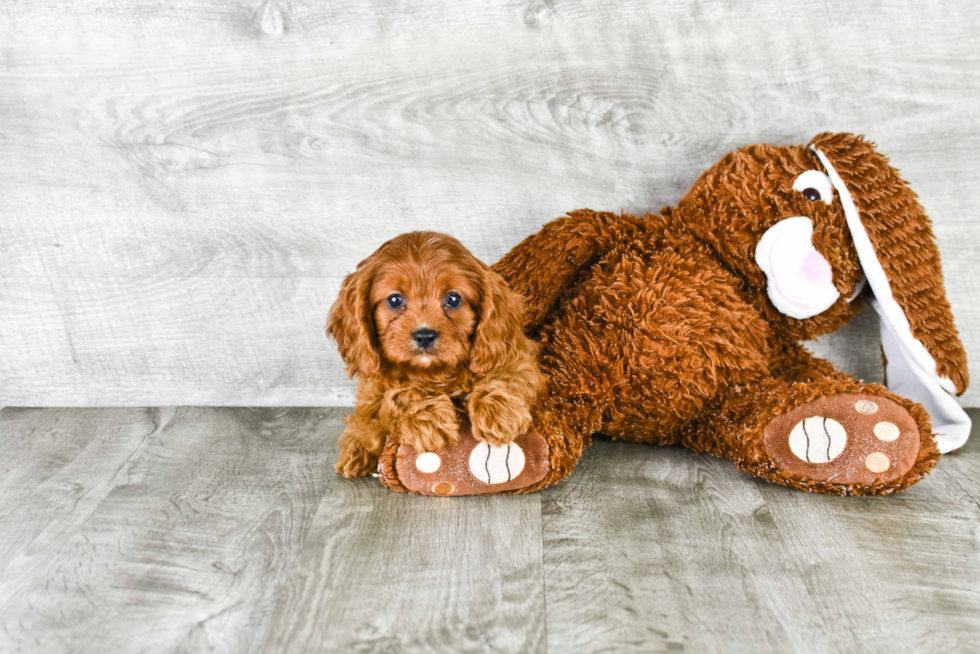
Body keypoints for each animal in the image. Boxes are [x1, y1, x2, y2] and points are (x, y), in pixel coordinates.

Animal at [328, 233, 544, 480]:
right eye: (394, 300)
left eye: (453, 299)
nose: (424, 335)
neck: (435, 371)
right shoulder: (373, 391)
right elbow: (394, 395)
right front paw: (428, 417)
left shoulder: (518, 356)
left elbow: (506, 375)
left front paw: (498, 413)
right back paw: (355, 454)